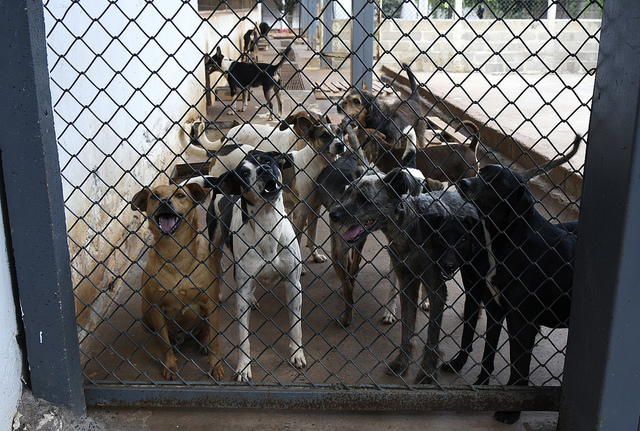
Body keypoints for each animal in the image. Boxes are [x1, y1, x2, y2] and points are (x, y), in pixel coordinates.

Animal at [130, 182, 225, 382]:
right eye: (154, 196)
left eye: (180, 195)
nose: (165, 201)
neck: (176, 253)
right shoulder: (157, 309)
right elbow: (164, 343)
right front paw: (170, 366)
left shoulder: (211, 304)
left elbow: (215, 340)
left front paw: (216, 366)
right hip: (145, 315)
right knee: (164, 338)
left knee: (205, 333)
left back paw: (203, 343)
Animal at [330, 167, 476, 384]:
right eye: (347, 192)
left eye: (364, 198)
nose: (333, 214)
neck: (409, 228)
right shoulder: (407, 282)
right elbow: (406, 329)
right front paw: (402, 363)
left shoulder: (437, 288)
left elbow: (432, 336)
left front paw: (427, 372)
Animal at [458, 165, 576, 426]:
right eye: (483, 172)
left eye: (498, 183)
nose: (463, 182)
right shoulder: (497, 309)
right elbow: (489, 352)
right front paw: (484, 387)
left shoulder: (523, 323)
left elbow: (519, 367)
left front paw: (512, 410)